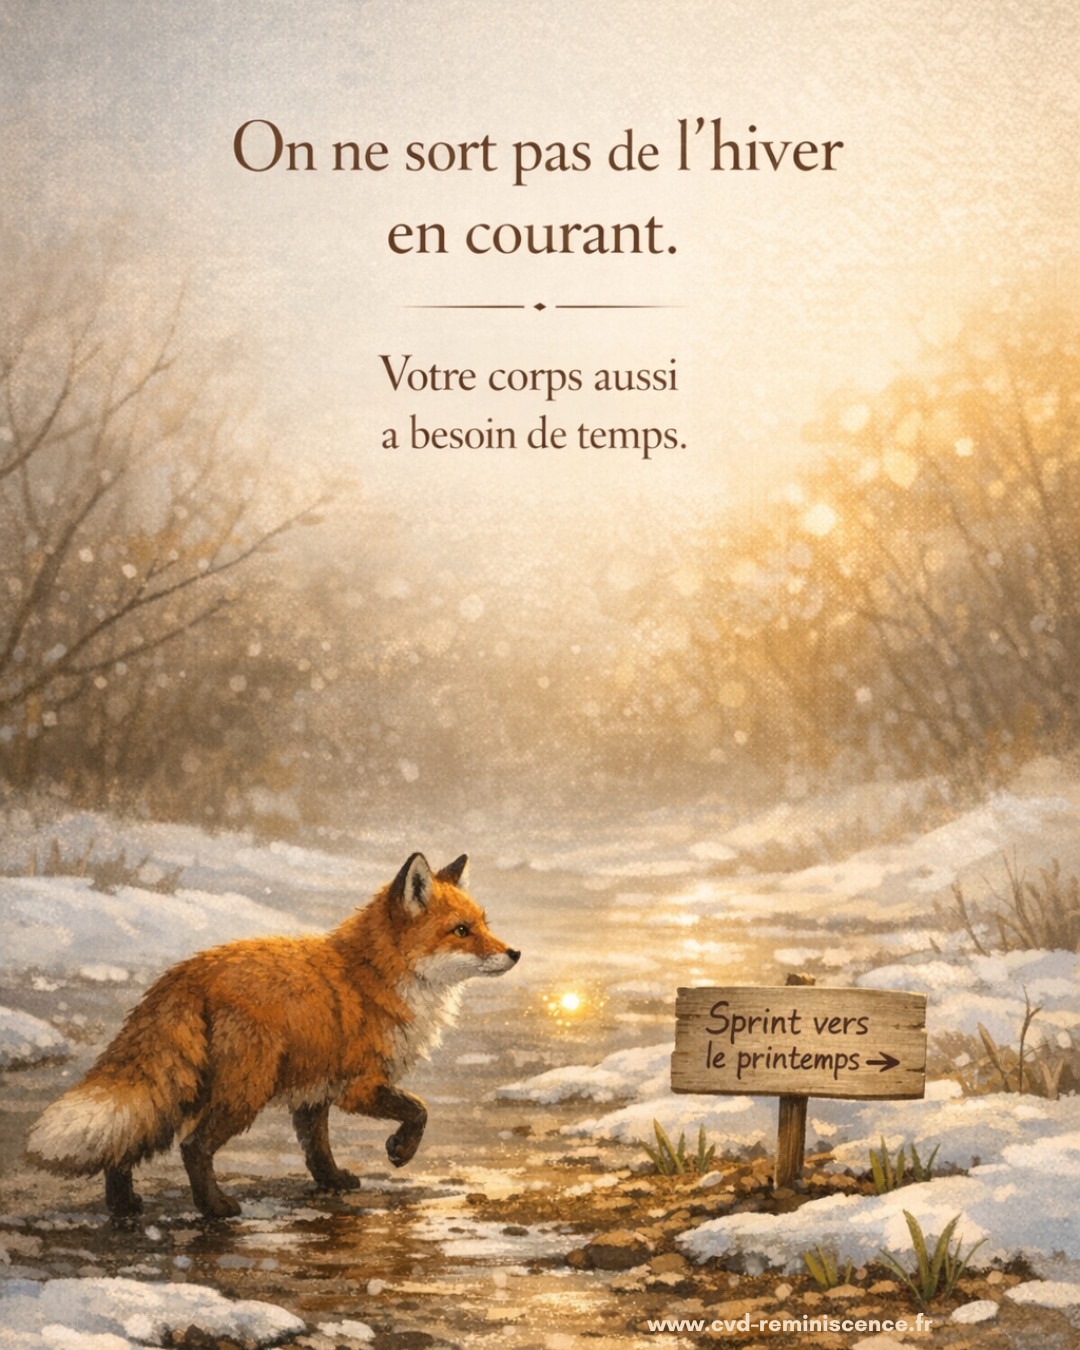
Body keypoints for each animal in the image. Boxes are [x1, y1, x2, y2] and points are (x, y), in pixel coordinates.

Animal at [25, 852, 519, 1220]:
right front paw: (399, 1151)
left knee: (131, 1139)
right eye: (461, 931)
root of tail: (185, 973)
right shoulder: (358, 1087)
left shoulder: (317, 1090)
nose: (514, 953)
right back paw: (214, 1208)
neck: (378, 974)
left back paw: (124, 1206)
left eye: (485, 924)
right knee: (192, 1146)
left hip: (187, 1085)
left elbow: (318, 1148)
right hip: (244, 1090)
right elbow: (418, 1110)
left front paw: (334, 1183)